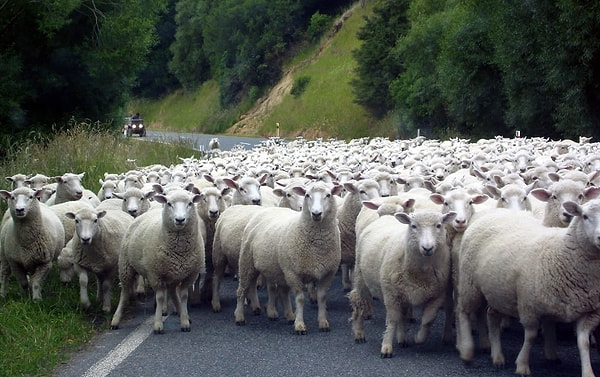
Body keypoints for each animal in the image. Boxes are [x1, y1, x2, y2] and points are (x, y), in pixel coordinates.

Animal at [110, 188, 206, 332]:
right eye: (169, 204)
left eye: (190, 203)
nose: (180, 219)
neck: (180, 250)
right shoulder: (155, 275)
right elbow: (160, 297)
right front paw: (158, 324)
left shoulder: (190, 275)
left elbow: (183, 296)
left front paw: (185, 321)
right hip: (125, 266)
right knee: (124, 293)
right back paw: (116, 320)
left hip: (172, 273)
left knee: (172, 291)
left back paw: (182, 313)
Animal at [234, 181, 342, 332]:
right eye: (307, 195)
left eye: (328, 195)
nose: (316, 213)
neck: (317, 247)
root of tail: (266, 210)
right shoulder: (294, 273)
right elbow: (300, 298)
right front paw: (300, 325)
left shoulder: (328, 273)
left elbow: (322, 298)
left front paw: (323, 322)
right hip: (246, 262)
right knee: (242, 289)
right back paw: (239, 316)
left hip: (277, 268)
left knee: (282, 291)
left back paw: (289, 315)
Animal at [346, 209, 454, 356]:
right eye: (413, 226)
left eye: (439, 225)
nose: (427, 248)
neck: (421, 274)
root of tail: (386, 217)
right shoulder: (391, 294)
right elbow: (392, 320)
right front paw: (386, 347)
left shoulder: (437, 296)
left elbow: (427, 320)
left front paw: (419, 338)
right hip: (360, 276)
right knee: (359, 303)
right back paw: (359, 333)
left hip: (404, 292)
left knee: (402, 316)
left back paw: (402, 339)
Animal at [454, 197, 600, 376]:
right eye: (585, 216)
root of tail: (495, 212)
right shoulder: (528, 305)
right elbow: (530, 336)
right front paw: (522, 365)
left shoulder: (589, 312)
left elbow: (583, 342)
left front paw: (588, 371)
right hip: (470, 283)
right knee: (463, 311)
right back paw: (467, 351)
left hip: (498, 289)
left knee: (492, 316)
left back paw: (497, 356)